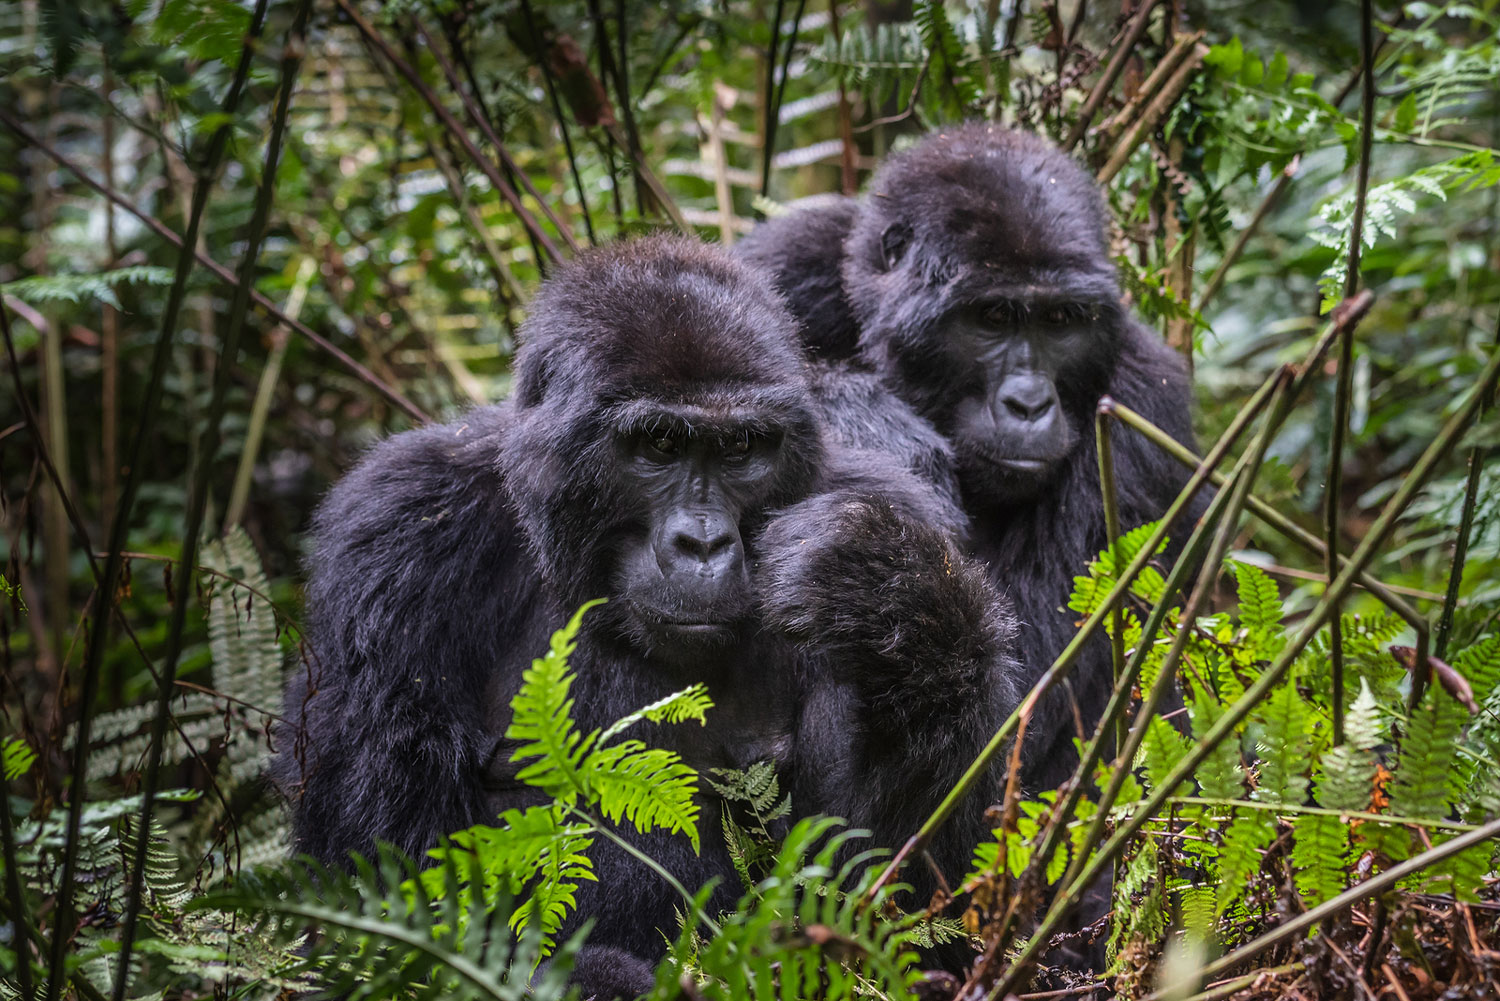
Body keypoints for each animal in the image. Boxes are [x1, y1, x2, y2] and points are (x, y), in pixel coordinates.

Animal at [277, 237, 1020, 1001]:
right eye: (660, 444)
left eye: (741, 448)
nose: (703, 543)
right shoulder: (399, 527)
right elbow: (393, 896)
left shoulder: (899, 502)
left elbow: (899, 906)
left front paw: (890, 598)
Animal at [732, 125, 1200, 792]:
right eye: (993, 317)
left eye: (1061, 320)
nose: (1029, 404)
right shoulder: (785, 260)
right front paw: (862, 413)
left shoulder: (1145, 407)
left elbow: (1021, 704)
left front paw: (876, 578)